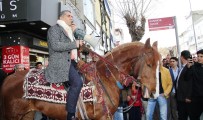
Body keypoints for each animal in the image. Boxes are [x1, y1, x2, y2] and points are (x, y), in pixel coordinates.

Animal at [0, 38, 160, 120]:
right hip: (13, 115)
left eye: (158, 64)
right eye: (149, 64)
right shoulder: (103, 117)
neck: (105, 77)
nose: (154, 92)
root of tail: (9, 79)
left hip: (28, 114)